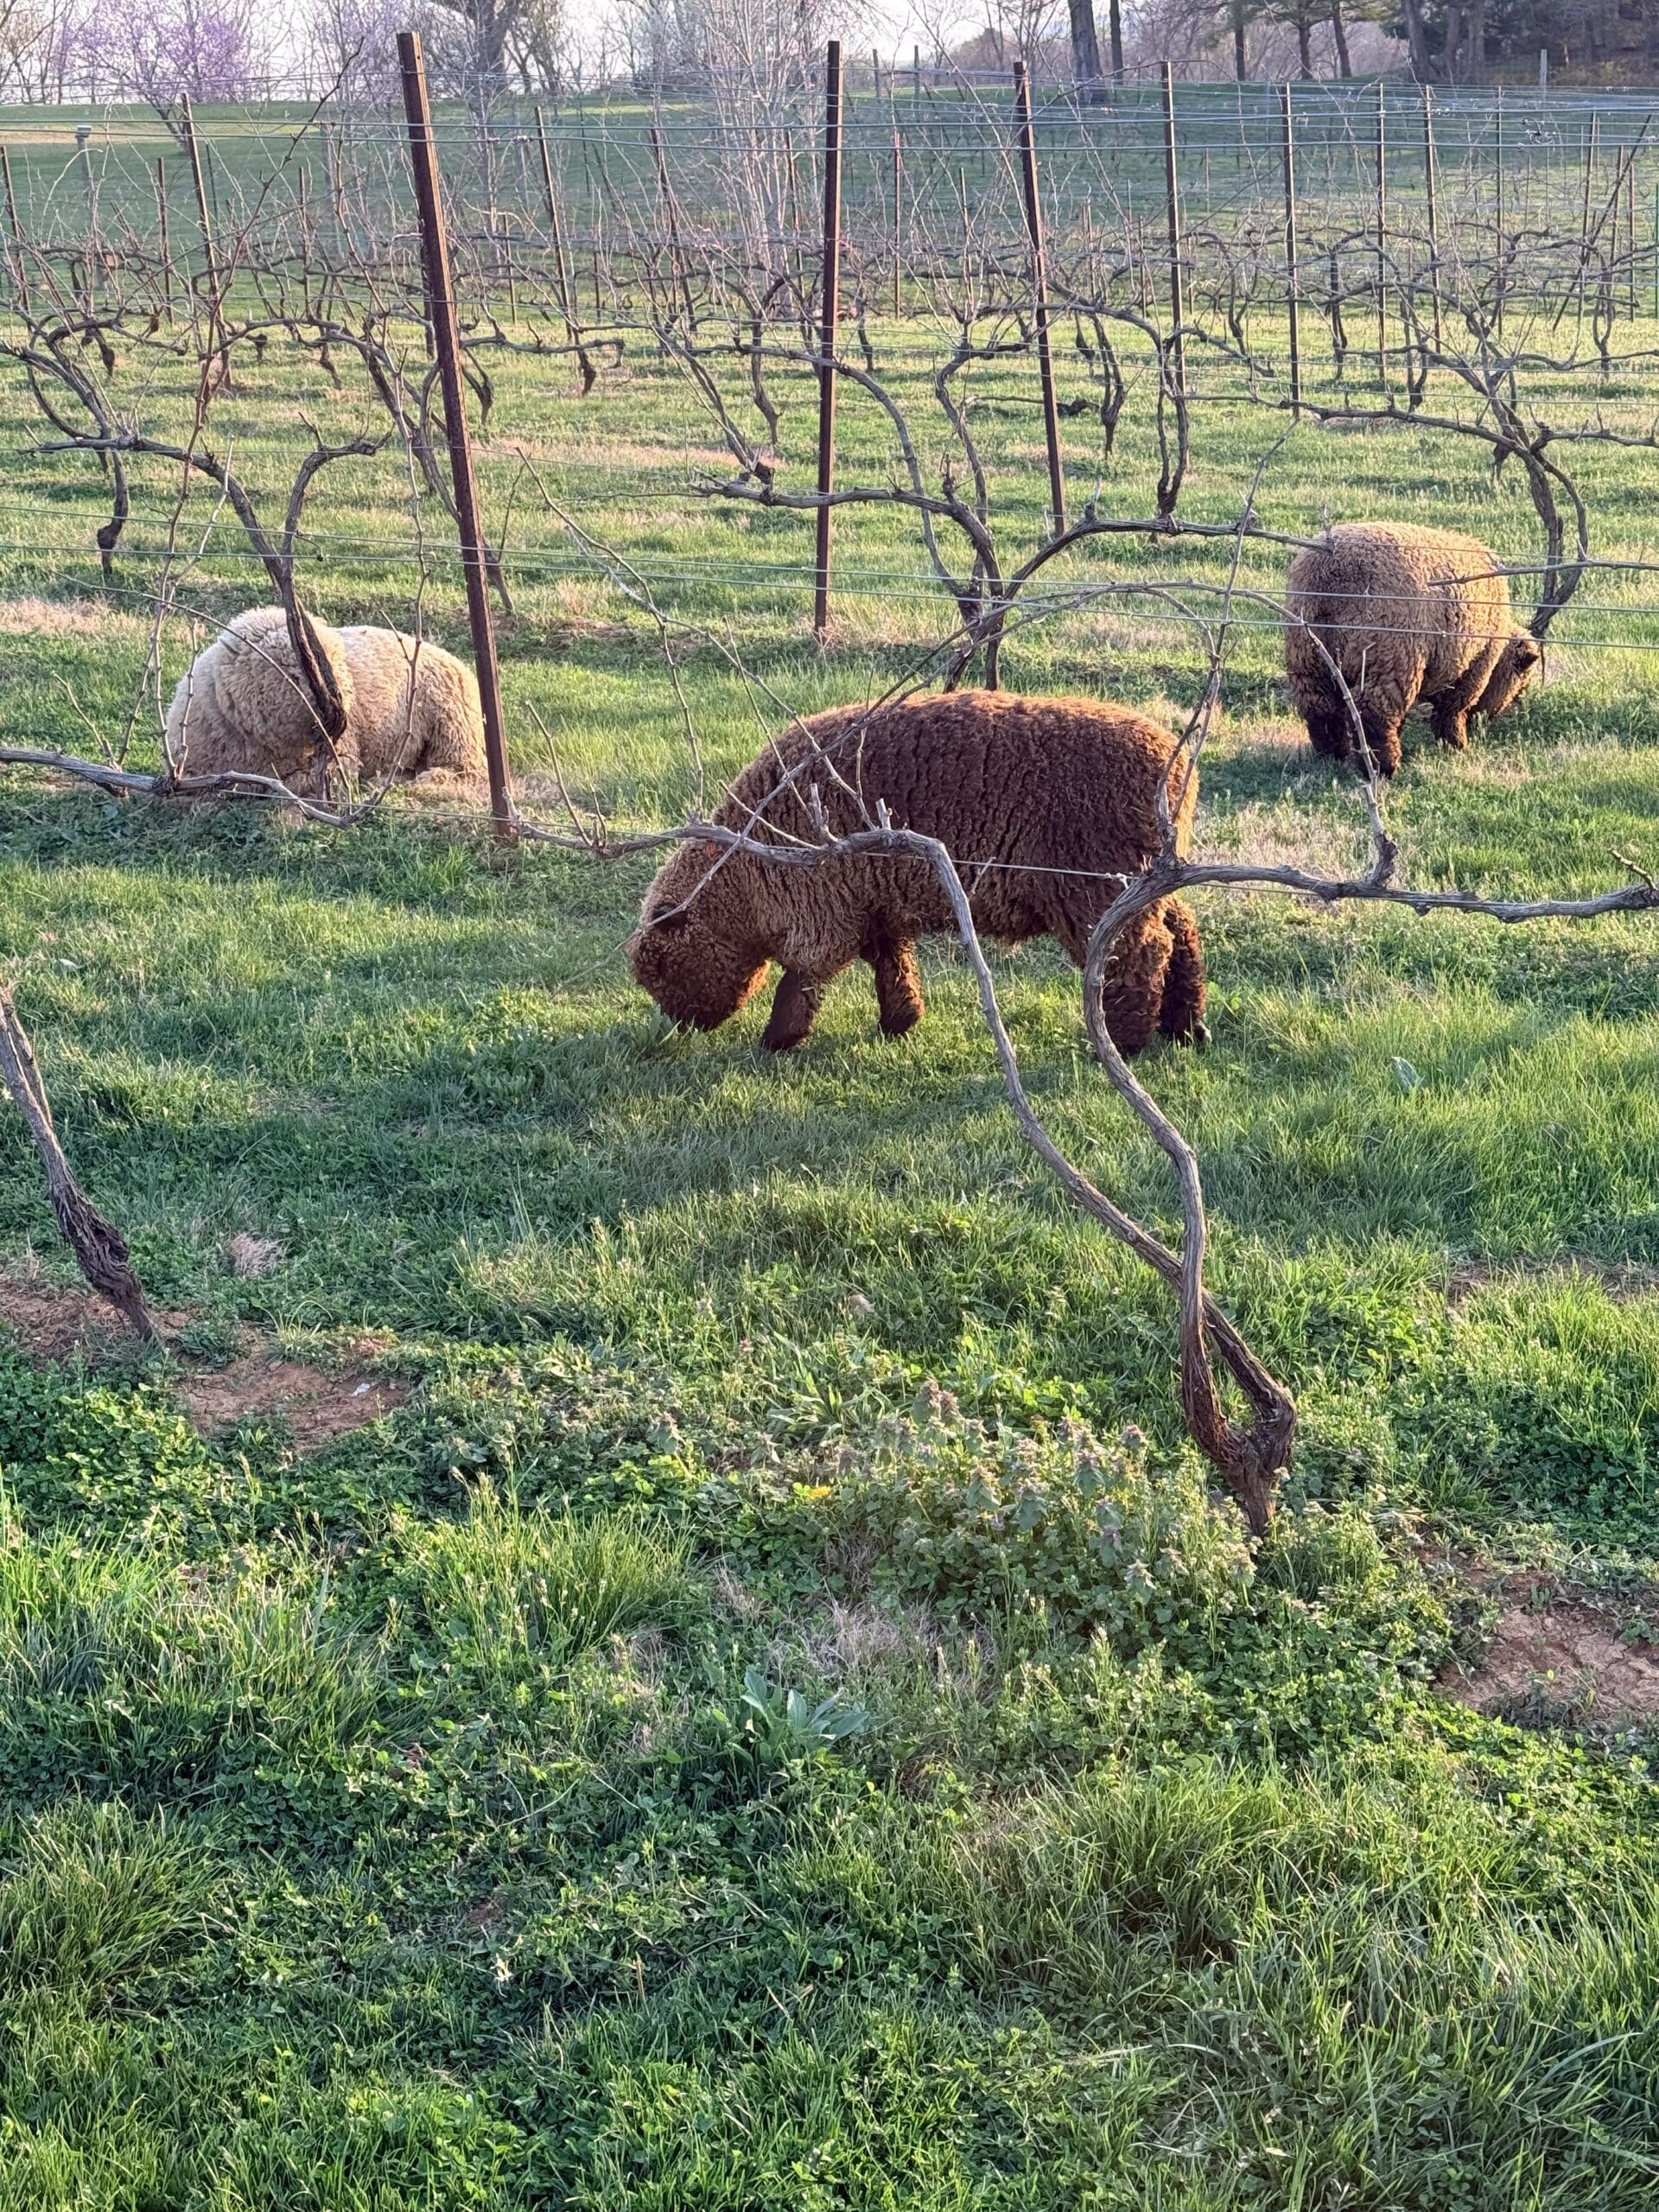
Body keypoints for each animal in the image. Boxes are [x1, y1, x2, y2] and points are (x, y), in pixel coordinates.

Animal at [629, 688, 1207, 1057]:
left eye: (661, 969)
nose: (679, 1029)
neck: (746, 871)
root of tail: (1178, 765)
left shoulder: (821, 905)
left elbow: (803, 976)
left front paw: (777, 1041)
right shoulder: (873, 900)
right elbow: (890, 963)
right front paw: (900, 1022)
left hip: (1098, 884)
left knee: (1141, 952)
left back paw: (1127, 1042)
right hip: (1151, 876)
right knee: (1182, 931)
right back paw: (1186, 1026)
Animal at [1284, 522, 1542, 776]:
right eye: (1520, 686)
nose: (1490, 719)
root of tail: (1333, 573)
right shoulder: (1475, 666)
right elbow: (1451, 711)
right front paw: (1455, 745)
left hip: (1307, 655)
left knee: (1320, 707)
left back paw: (1333, 755)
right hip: (1391, 656)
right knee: (1373, 712)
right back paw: (1382, 767)